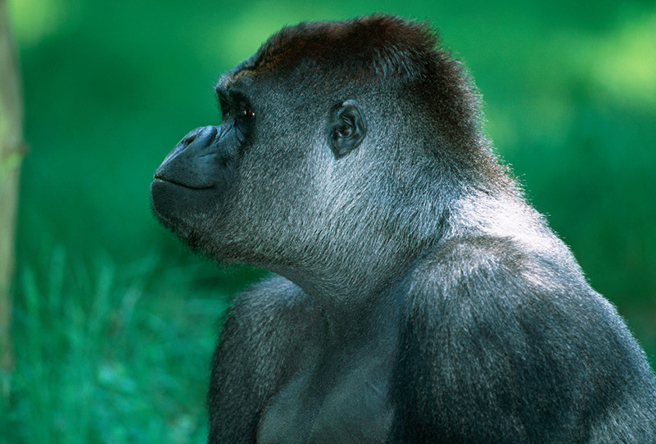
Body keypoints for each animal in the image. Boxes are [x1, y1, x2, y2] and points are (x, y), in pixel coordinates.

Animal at [150, 14, 656, 444]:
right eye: (227, 109)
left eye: (244, 114)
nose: (190, 137)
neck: (399, 248)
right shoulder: (258, 319)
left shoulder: (483, 294)